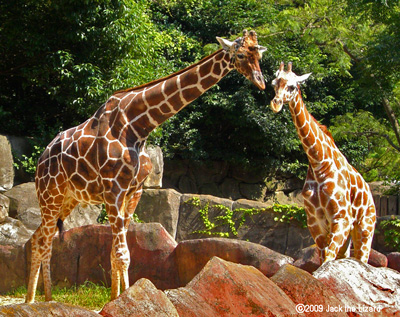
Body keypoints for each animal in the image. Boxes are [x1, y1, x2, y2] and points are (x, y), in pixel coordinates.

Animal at [26, 30, 268, 302]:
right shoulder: (113, 189)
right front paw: (127, 300)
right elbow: (122, 254)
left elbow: (116, 253)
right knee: (44, 241)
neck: (138, 125)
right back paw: (37, 301)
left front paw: (117, 298)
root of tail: (41, 159)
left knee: (37, 238)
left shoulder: (134, 191)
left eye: (258, 55)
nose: (261, 82)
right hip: (50, 195)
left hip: (67, 199)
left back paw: (40, 299)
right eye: (240, 55)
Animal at [270, 61, 376, 264]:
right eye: (274, 83)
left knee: (362, 259)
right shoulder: (315, 220)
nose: (276, 104)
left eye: (292, 86)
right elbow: (323, 257)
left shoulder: (341, 218)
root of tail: (370, 194)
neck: (319, 163)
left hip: (365, 227)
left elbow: (327, 258)